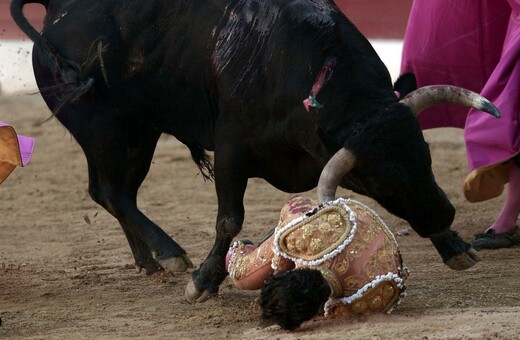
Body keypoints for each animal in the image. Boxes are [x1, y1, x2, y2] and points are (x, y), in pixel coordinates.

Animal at [11, 0, 500, 302]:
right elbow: (229, 219)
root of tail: (57, 12)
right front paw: (203, 282)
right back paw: (170, 254)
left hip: (136, 134)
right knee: (111, 192)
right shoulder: (232, 150)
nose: (444, 216)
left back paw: (149, 262)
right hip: (108, 130)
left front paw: (455, 247)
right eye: (375, 178)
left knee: (114, 193)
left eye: (425, 155)